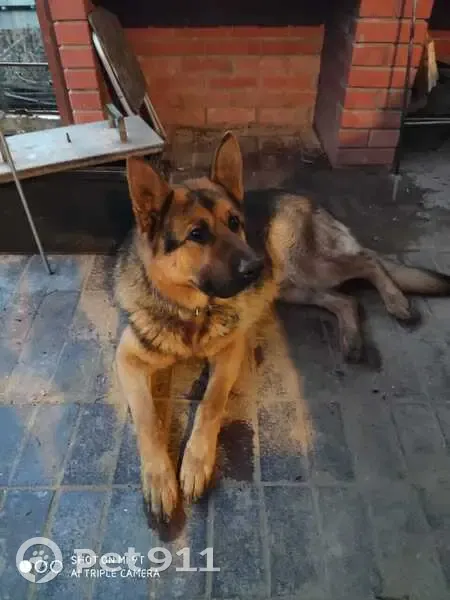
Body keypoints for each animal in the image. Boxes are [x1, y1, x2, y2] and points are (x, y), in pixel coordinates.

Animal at [114, 131, 450, 529]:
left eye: (234, 222)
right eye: (196, 234)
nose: (255, 266)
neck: (191, 309)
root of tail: (301, 197)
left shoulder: (231, 351)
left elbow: (210, 404)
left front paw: (196, 463)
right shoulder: (127, 360)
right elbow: (147, 420)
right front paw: (158, 480)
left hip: (304, 264)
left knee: (369, 261)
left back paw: (397, 301)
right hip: (292, 284)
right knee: (345, 299)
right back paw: (352, 339)